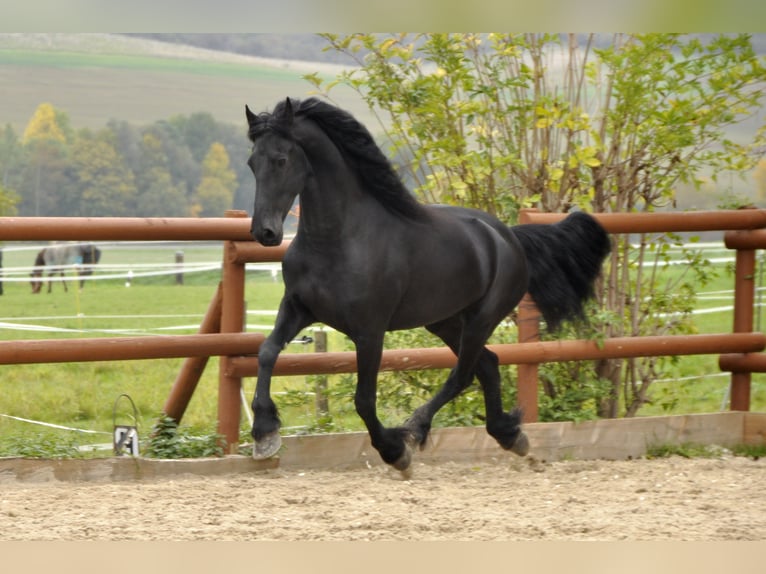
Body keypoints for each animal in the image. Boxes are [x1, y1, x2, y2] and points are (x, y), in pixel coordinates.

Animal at [245, 97, 611, 474]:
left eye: (281, 159)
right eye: (252, 162)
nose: (265, 232)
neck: (337, 240)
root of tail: (509, 237)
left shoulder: (369, 330)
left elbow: (364, 399)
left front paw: (394, 451)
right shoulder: (298, 308)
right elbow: (267, 352)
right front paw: (264, 434)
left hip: (482, 319)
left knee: (464, 374)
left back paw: (416, 428)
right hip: (444, 321)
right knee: (488, 365)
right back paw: (510, 435)